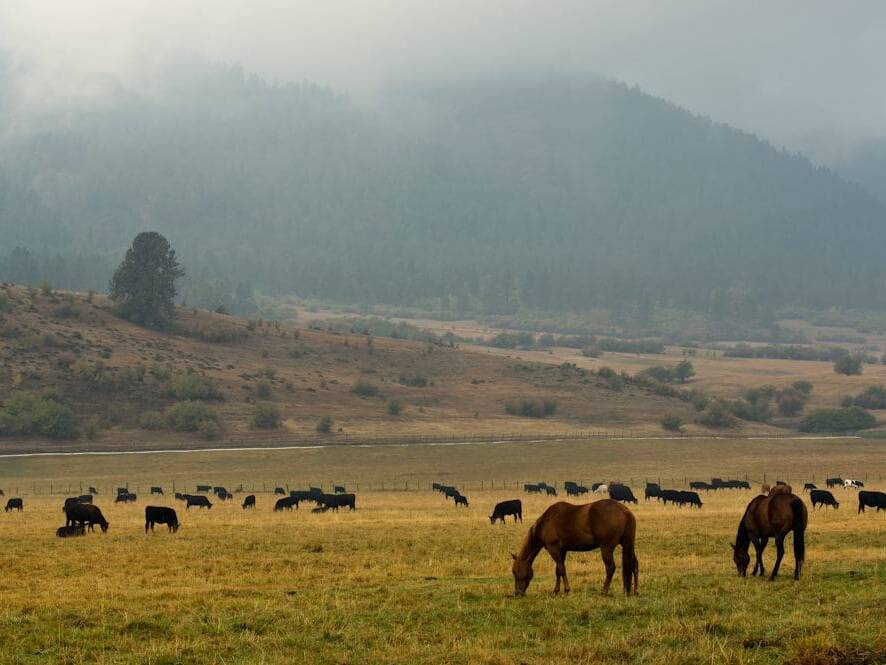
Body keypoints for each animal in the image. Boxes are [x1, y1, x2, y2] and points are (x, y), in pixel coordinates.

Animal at [510, 498, 640, 596]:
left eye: (515, 572)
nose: (517, 593)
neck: (547, 522)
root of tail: (625, 511)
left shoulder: (554, 549)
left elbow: (561, 569)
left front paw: (567, 590)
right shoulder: (562, 551)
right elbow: (558, 570)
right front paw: (556, 590)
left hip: (606, 548)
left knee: (610, 568)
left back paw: (604, 591)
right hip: (627, 545)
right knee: (634, 566)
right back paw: (635, 591)